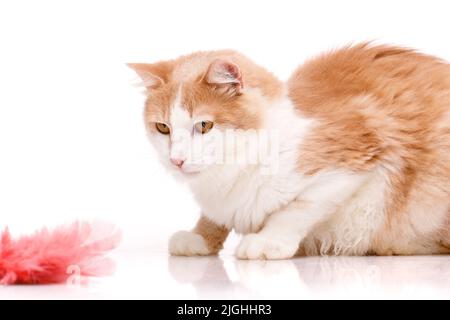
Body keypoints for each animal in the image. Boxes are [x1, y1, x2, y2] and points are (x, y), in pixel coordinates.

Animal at [127, 44, 450, 260]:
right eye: (163, 128)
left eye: (204, 125)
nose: (176, 160)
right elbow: (214, 216)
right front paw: (200, 237)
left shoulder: (357, 157)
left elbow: (297, 209)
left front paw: (268, 241)